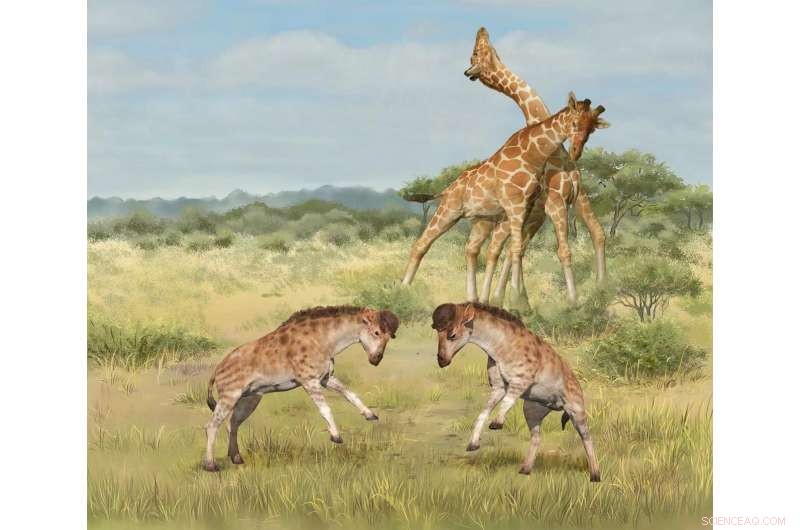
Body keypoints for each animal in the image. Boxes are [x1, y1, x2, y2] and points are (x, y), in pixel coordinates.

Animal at [401, 93, 608, 311]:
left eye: (592, 128)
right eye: (575, 123)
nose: (576, 152)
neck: (533, 155)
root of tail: (447, 188)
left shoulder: (525, 207)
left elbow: (514, 249)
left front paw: (514, 300)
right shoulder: (516, 205)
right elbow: (516, 249)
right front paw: (517, 300)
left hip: (482, 220)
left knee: (471, 249)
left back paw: (474, 299)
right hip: (449, 210)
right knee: (421, 244)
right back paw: (403, 290)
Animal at [463, 27, 608, 306]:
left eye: (476, 52)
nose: (482, 30)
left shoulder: (573, 197)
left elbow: (596, 233)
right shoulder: (553, 203)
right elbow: (558, 249)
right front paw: (570, 300)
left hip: (533, 216)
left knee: (507, 248)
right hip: (526, 216)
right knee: (499, 248)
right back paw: (500, 298)